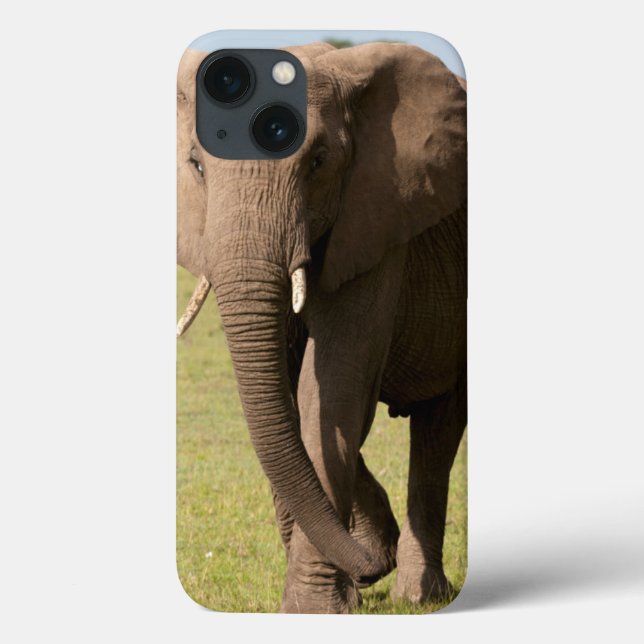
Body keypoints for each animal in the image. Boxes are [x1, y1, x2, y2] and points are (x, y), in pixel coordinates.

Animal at [177, 41, 467, 614]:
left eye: (318, 162)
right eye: (196, 164)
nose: (371, 567)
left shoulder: (378, 216)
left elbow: (333, 387)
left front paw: (315, 607)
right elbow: (290, 397)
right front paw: (357, 573)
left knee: (440, 430)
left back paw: (420, 593)